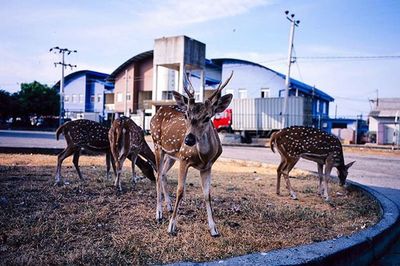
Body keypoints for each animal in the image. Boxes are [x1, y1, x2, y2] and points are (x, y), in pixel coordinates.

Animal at [150, 71, 233, 236]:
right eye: (187, 115)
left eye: (207, 117)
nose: (188, 139)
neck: (203, 156)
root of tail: (158, 111)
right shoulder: (184, 158)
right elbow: (180, 190)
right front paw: (171, 227)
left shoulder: (207, 166)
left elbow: (207, 194)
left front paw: (214, 229)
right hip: (157, 144)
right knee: (157, 174)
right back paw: (159, 213)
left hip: (171, 154)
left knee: (163, 174)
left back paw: (169, 206)